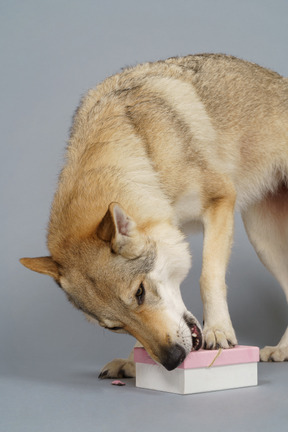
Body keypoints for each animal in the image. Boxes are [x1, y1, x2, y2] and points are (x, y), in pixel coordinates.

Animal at [20, 54, 288, 378]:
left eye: (139, 293)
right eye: (114, 327)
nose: (172, 360)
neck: (143, 151)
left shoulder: (220, 201)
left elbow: (208, 276)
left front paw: (218, 330)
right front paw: (134, 363)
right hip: (264, 242)